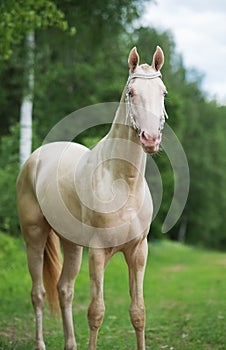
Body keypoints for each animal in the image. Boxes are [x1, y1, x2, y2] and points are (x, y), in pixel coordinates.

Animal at [15, 47, 167, 350]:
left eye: (163, 92)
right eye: (131, 92)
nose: (150, 139)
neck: (121, 181)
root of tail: (35, 158)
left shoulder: (138, 252)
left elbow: (138, 312)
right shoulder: (98, 253)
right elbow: (96, 312)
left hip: (71, 244)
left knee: (64, 290)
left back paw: (70, 344)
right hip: (34, 237)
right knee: (38, 293)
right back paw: (40, 343)